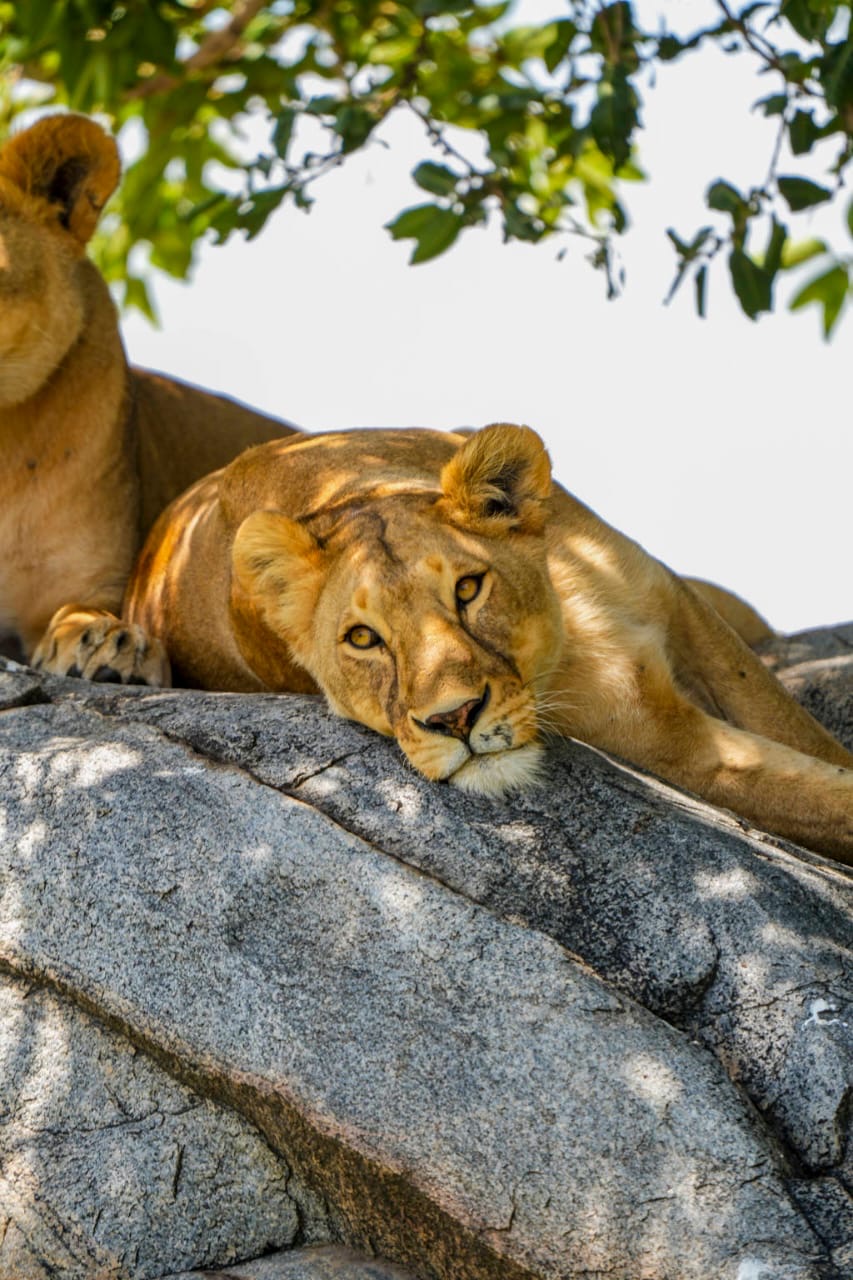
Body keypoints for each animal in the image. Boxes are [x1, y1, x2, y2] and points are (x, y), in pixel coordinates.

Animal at [121, 423, 853, 864]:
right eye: (362, 638)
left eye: (469, 588)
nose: (454, 720)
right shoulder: (666, 743)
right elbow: (823, 796)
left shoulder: (683, 609)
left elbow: (803, 734)